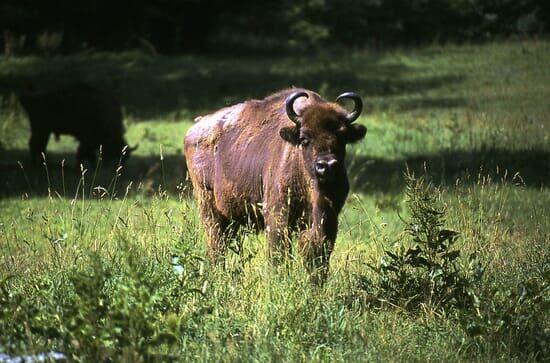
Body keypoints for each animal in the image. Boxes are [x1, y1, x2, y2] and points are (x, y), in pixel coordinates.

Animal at [184, 89, 366, 284]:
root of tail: (194, 129)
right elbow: (278, 253)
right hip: (208, 208)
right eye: (305, 139)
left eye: (343, 138)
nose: (327, 165)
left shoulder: (326, 219)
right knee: (217, 245)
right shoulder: (277, 214)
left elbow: (316, 250)